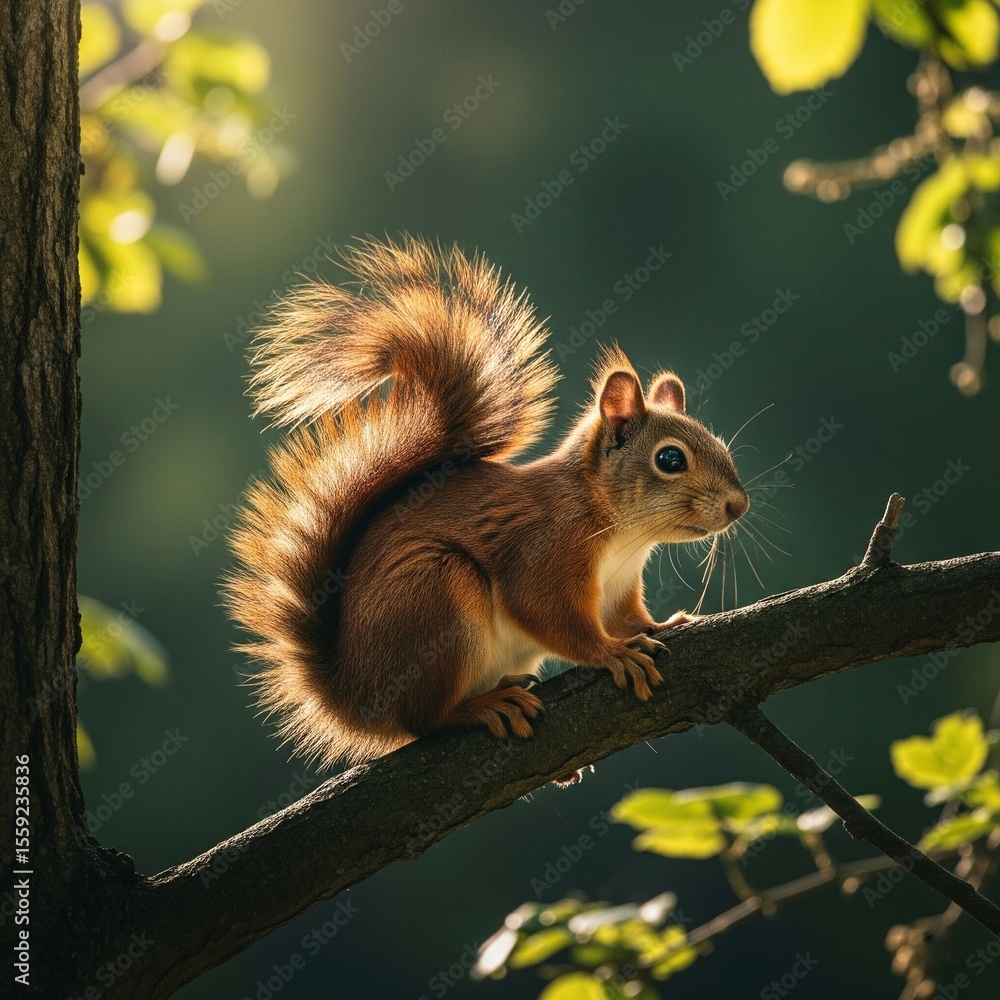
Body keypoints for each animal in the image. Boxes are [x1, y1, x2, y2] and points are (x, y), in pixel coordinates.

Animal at [225, 236, 749, 770]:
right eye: (670, 459)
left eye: (720, 445)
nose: (739, 506)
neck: (621, 534)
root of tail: (355, 696)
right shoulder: (542, 552)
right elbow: (548, 614)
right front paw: (611, 655)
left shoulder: (619, 587)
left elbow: (626, 619)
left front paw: (663, 623)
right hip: (435, 594)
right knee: (425, 720)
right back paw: (482, 706)